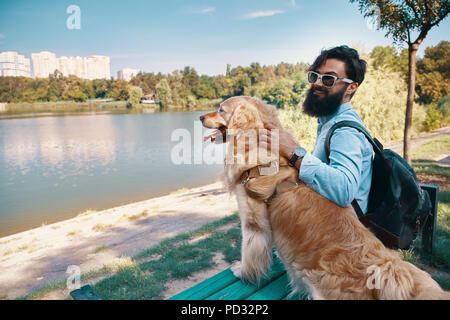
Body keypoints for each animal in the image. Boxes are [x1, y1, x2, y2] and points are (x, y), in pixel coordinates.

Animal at [201, 95, 450, 300]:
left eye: (220, 109)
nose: (201, 116)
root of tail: (385, 268)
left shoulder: (253, 223)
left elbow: (248, 251)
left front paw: (241, 271)